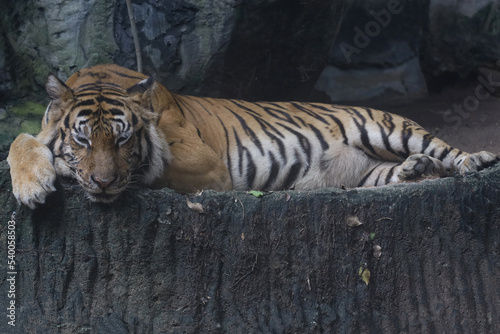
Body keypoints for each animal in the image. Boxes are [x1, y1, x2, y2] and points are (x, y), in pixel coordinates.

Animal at [7, 63, 500, 207]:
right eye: (83, 140)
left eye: (123, 140)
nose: (104, 183)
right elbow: (20, 138)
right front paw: (33, 185)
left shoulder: (205, 166)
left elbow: (152, 167)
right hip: (368, 173)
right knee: (397, 172)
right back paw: (416, 172)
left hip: (388, 126)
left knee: (446, 149)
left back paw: (475, 160)